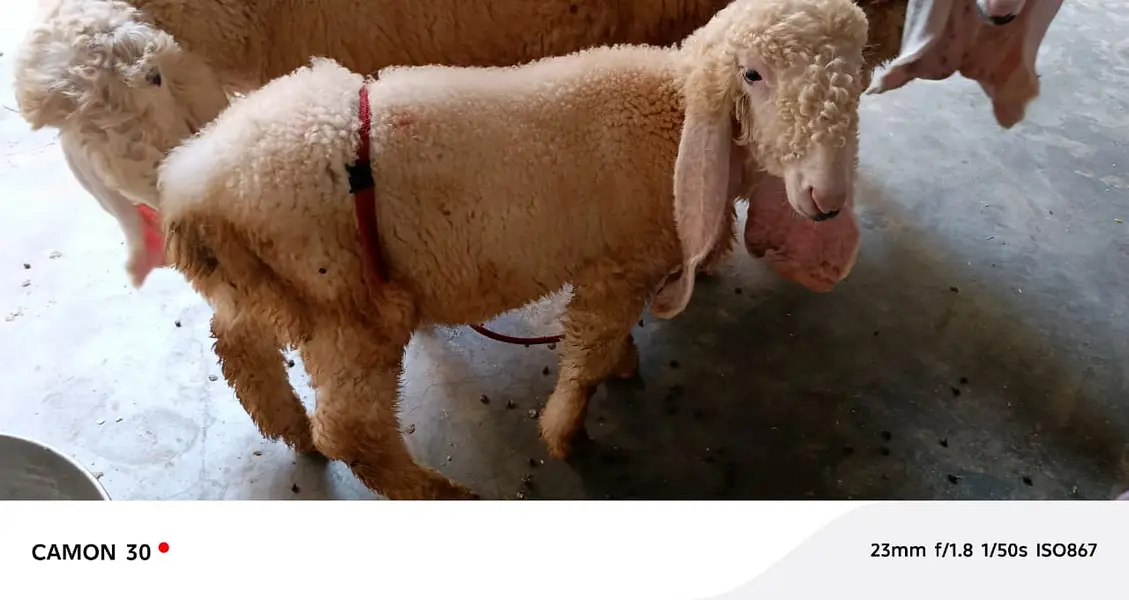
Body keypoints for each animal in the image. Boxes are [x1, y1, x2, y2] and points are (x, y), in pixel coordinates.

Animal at [157, 0, 870, 499]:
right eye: (752, 74)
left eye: (859, 70)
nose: (826, 197)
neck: (673, 105)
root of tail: (193, 186)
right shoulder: (619, 265)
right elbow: (587, 351)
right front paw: (566, 431)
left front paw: (621, 366)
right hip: (349, 312)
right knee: (352, 429)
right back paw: (435, 493)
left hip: (271, 290)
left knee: (236, 343)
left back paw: (289, 428)